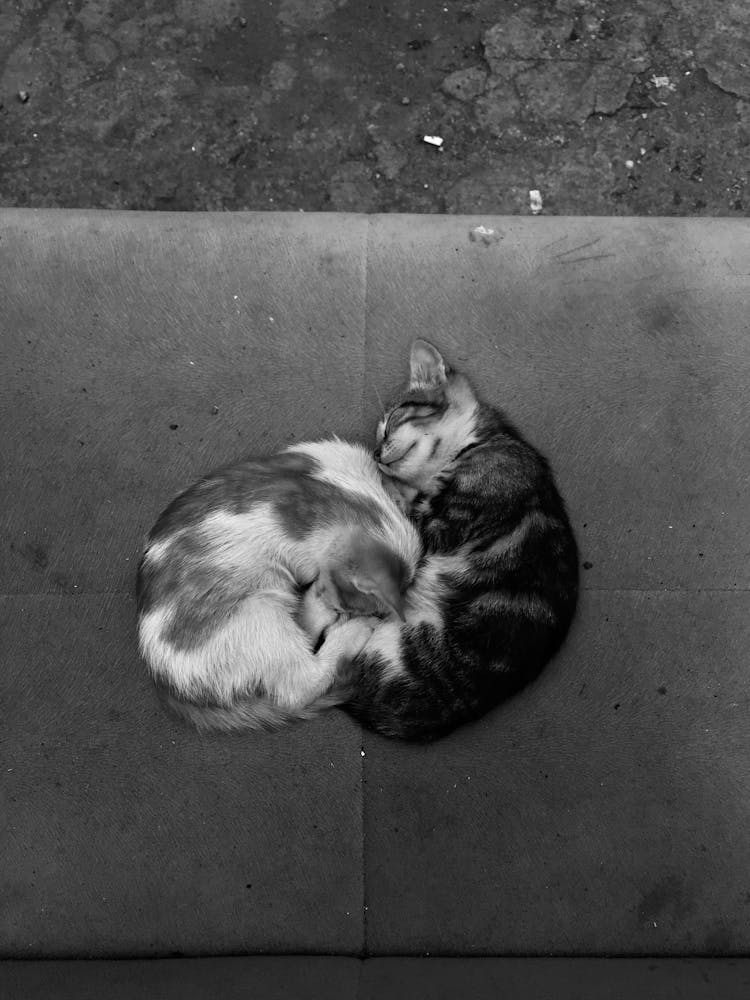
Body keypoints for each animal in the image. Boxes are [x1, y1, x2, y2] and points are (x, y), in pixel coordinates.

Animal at [136, 442, 424, 732]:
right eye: (345, 600)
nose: (332, 602)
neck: (354, 493)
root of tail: (164, 683)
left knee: (303, 634)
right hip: (260, 611)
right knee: (299, 686)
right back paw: (349, 630)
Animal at [334, 340, 580, 740]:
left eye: (394, 420)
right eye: (378, 436)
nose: (377, 454)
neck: (481, 441)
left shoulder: (445, 524)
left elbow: (405, 504)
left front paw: (376, 476)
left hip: (401, 646)